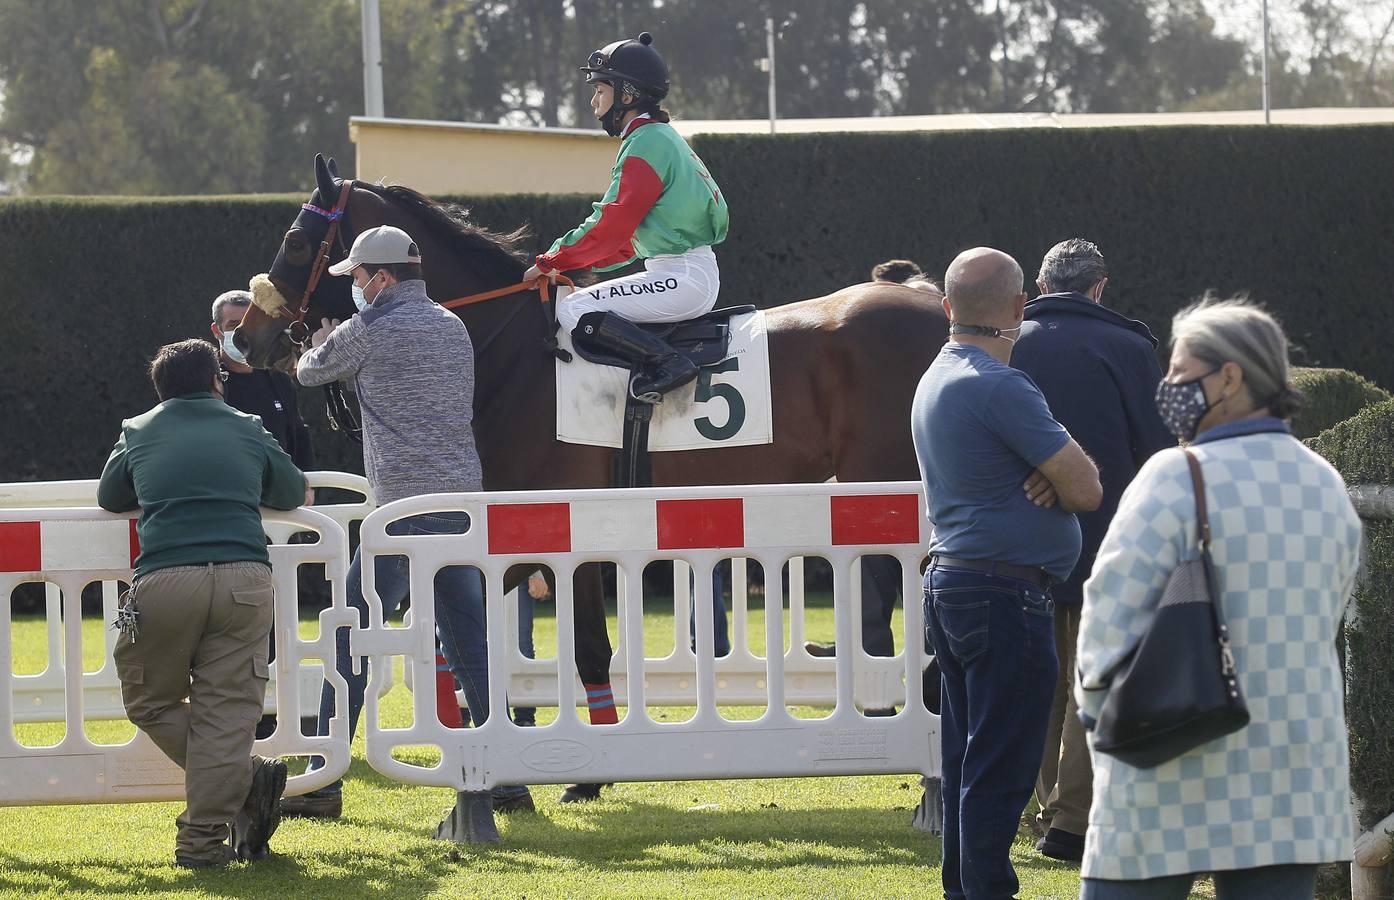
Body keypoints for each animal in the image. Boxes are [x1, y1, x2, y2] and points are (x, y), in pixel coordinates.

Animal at [239, 153, 953, 802]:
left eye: (296, 240)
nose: (248, 338)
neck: (511, 354)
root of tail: (942, 308)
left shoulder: (568, 530)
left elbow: (584, 644)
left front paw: (588, 772)